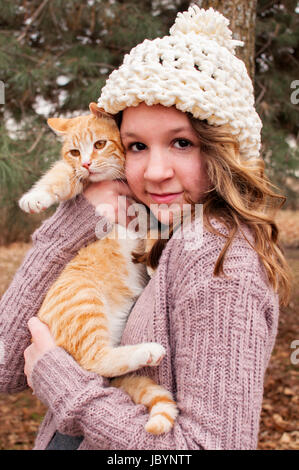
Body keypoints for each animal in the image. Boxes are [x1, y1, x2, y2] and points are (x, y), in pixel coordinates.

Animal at [19, 103, 179, 434]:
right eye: (74, 152)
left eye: (100, 144)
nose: (88, 163)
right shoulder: (78, 177)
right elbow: (61, 174)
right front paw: (36, 197)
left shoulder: (150, 210)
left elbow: (155, 228)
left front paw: (153, 260)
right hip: (85, 301)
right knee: (93, 360)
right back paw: (147, 351)